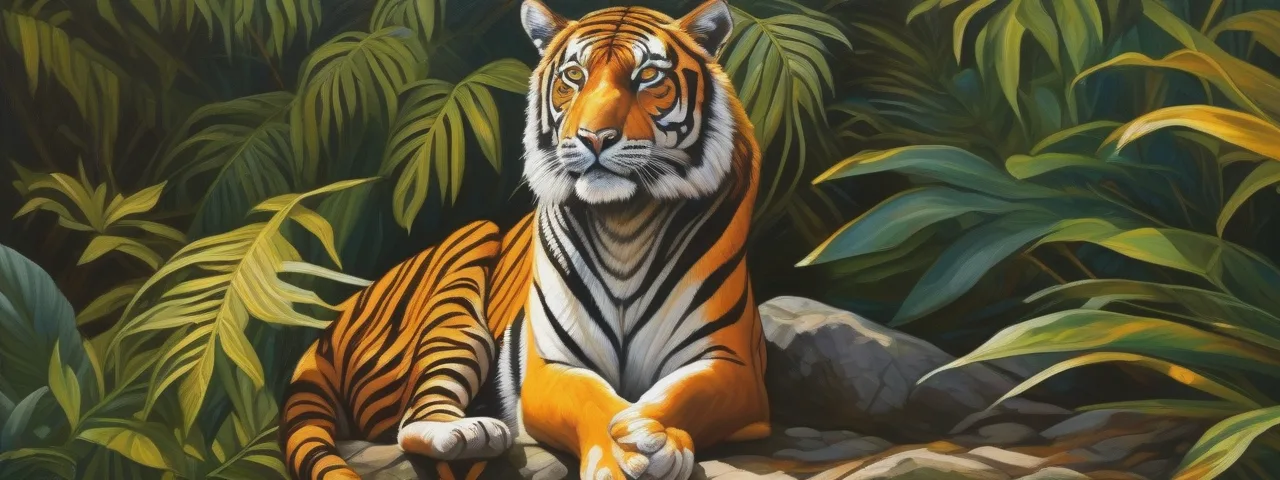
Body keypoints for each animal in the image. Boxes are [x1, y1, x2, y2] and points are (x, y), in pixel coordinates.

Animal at [279, 1, 769, 479]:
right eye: (574, 76)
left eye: (647, 76)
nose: (594, 138)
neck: (624, 222)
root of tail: (330, 328)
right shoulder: (551, 366)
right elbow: (594, 398)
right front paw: (621, 457)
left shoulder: (732, 363)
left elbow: (675, 395)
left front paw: (652, 437)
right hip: (464, 272)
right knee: (415, 418)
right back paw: (470, 432)